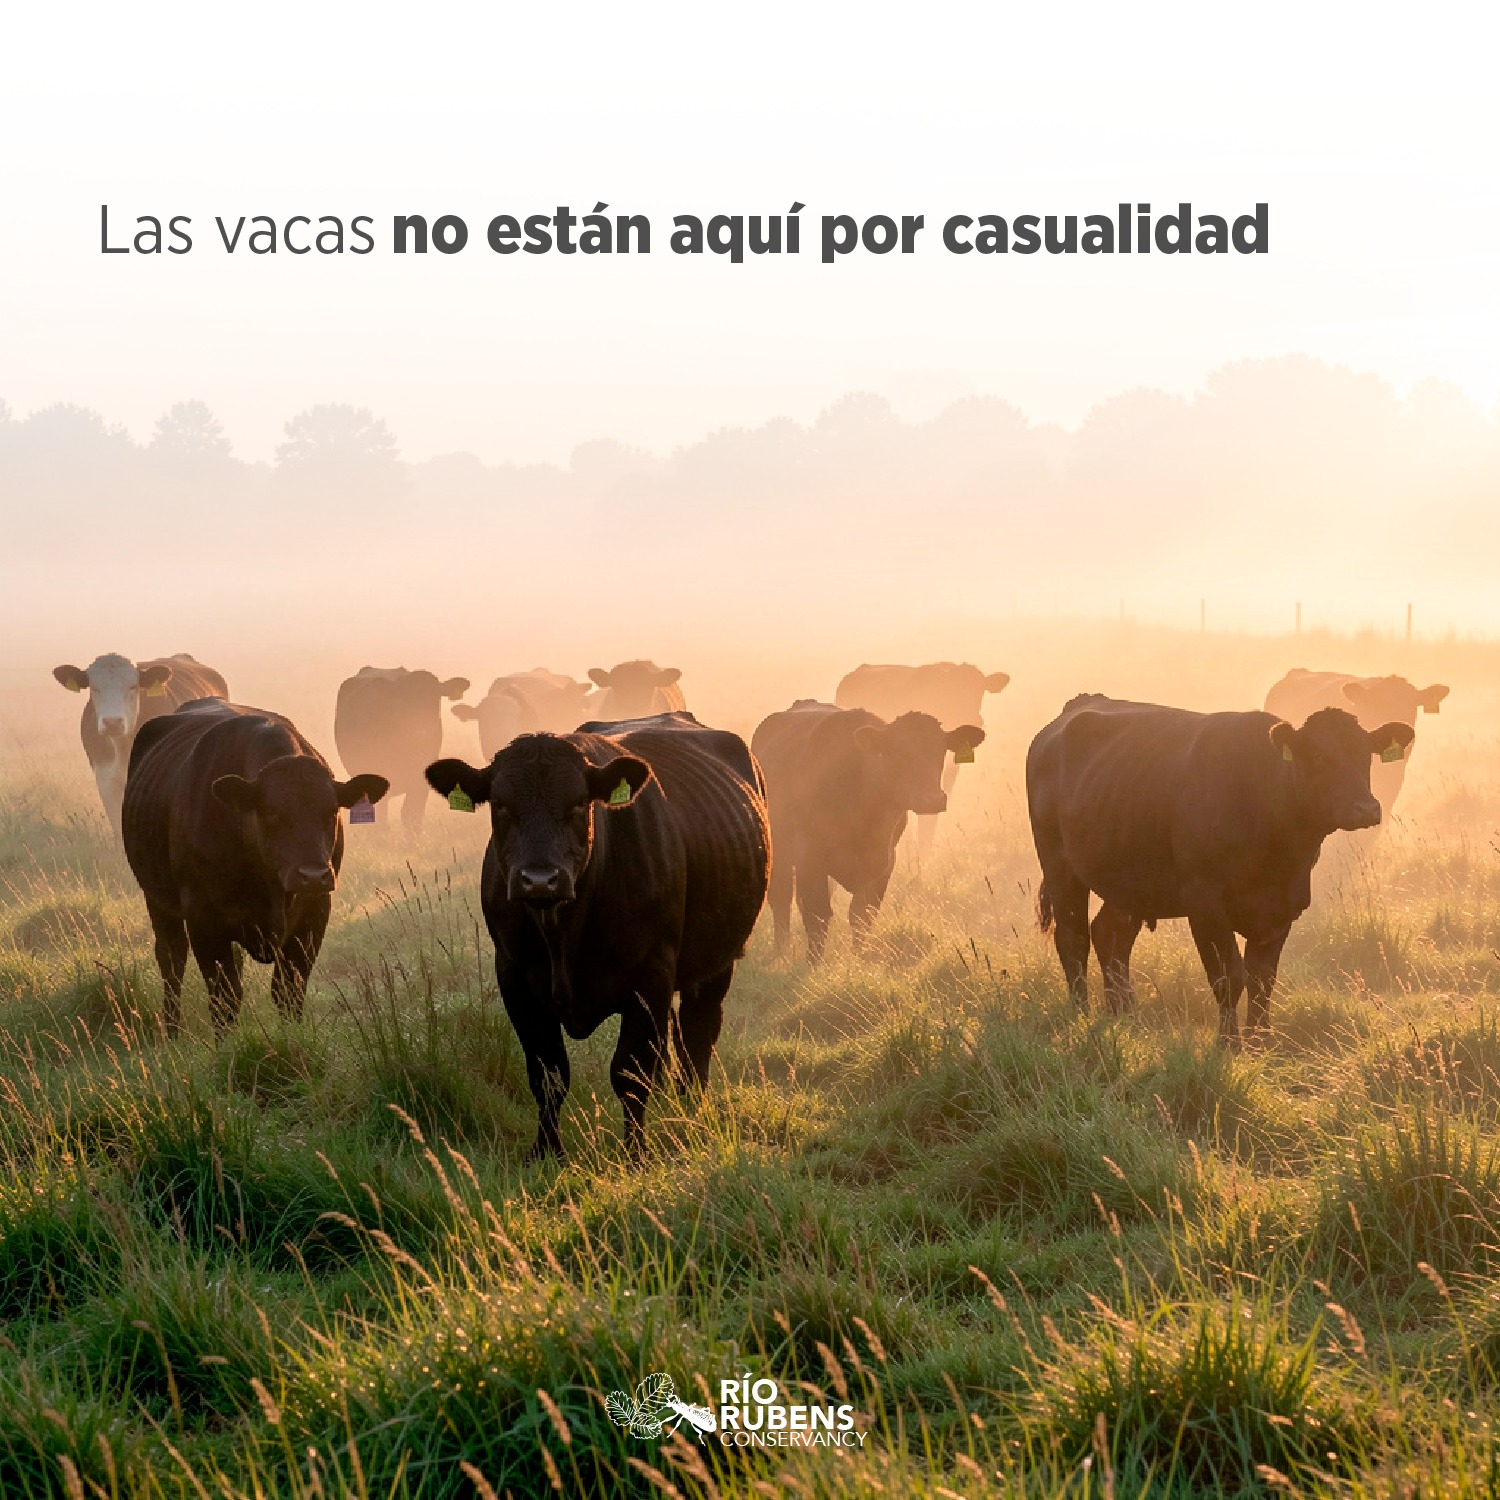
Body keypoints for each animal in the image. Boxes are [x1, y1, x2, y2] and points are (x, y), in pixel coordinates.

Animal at [122, 699, 388, 1035]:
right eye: (271, 812)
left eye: (331, 812)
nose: (313, 876)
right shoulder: (203, 918)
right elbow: (224, 999)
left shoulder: (314, 913)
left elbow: (288, 990)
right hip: (157, 900)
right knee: (172, 960)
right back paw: (171, 1032)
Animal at [333, 667, 469, 834]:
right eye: (404, 700)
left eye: (435, 698)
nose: (421, 732)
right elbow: (383, 820)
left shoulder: (421, 780)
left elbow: (412, 816)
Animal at [424, 711, 769, 1160]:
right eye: (500, 805)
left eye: (577, 803)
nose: (540, 879)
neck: (562, 935)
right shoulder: (515, 979)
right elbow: (547, 1073)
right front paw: (546, 1152)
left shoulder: (650, 977)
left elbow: (630, 1073)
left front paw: (636, 1154)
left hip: (716, 962)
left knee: (698, 1035)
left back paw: (692, 1110)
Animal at [752, 701, 984, 962]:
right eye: (897, 751)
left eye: (941, 749)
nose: (932, 799)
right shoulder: (810, 860)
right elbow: (817, 915)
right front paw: (813, 963)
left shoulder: (884, 863)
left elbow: (862, 915)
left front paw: (858, 959)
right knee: (781, 900)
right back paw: (781, 952)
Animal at [1026, 694, 1415, 1045]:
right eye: (1319, 755)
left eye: (1365, 755)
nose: (1366, 808)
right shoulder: (1205, 905)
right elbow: (1229, 977)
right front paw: (1229, 1044)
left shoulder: (1283, 906)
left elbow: (1262, 979)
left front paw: (1261, 1043)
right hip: (1060, 865)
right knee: (1073, 939)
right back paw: (1080, 1014)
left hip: (1129, 880)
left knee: (1110, 935)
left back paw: (1125, 1016)